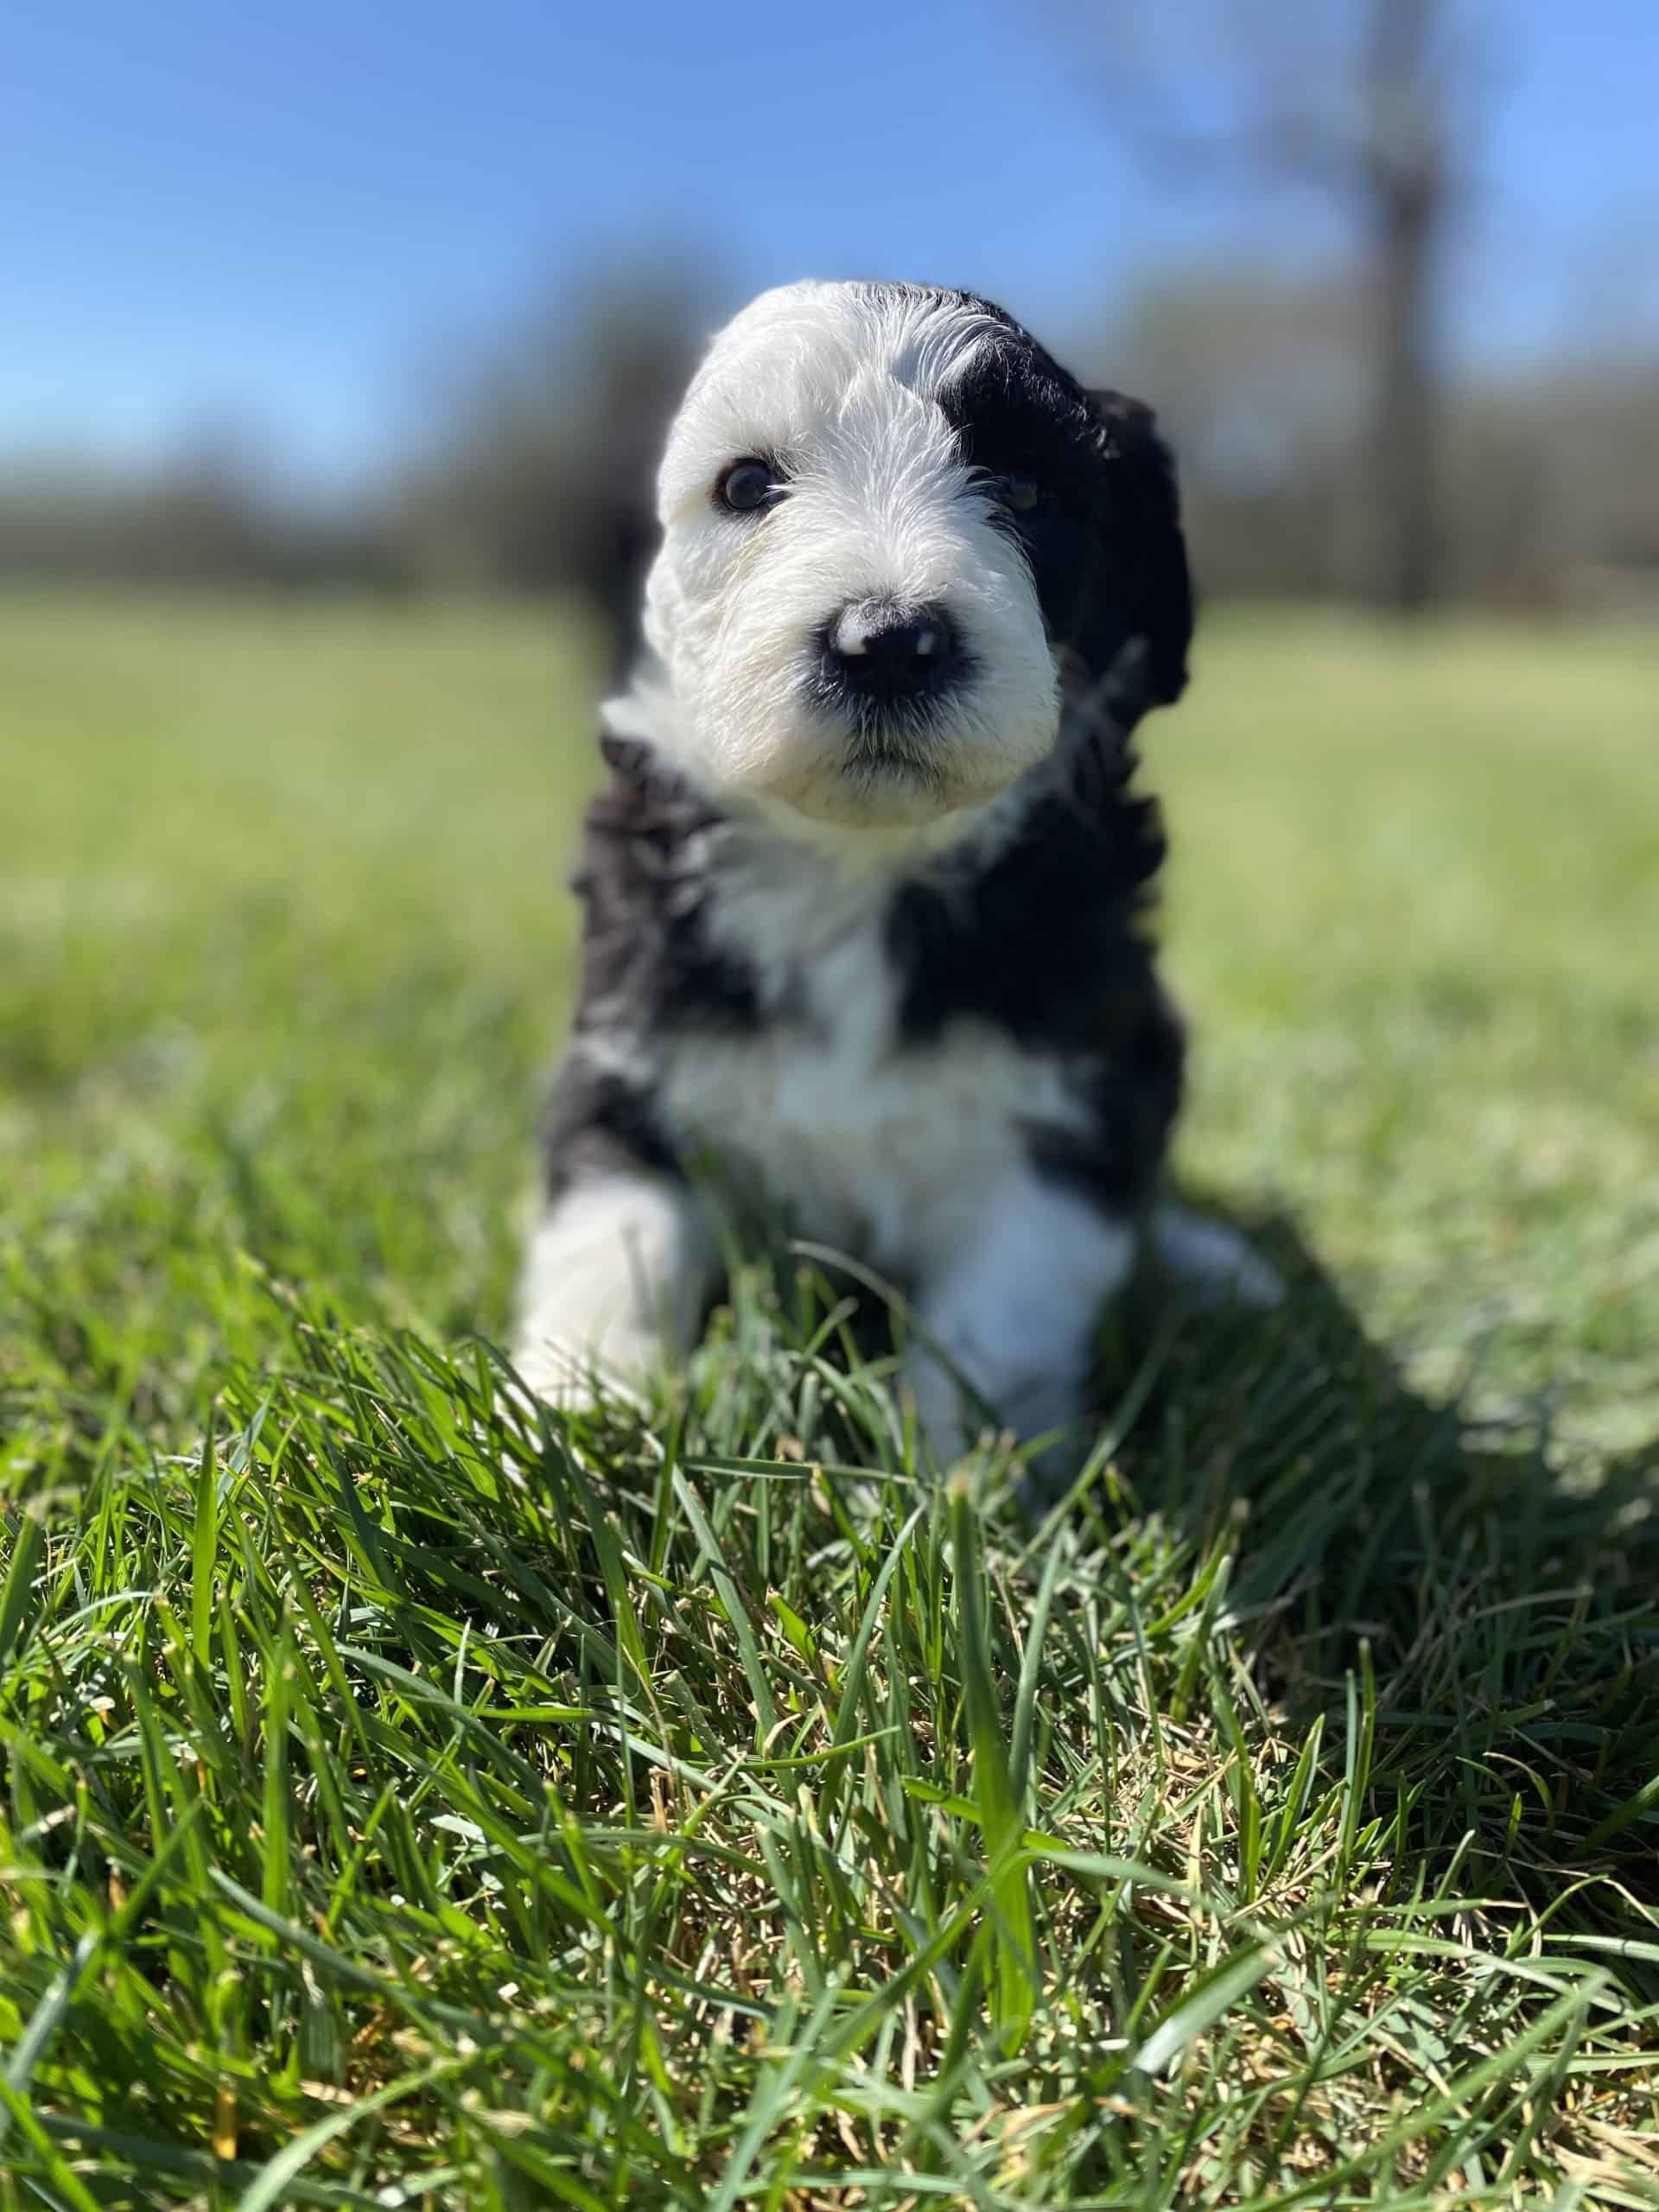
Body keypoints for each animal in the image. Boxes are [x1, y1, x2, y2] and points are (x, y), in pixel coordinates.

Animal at [512, 285, 1282, 1478]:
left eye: (1024, 488)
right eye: (746, 486)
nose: (887, 641)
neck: (859, 868)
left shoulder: (1075, 1095)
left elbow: (998, 1319)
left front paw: (965, 1476)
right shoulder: (627, 1041)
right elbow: (617, 1237)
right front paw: (577, 1417)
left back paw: (1216, 1264)